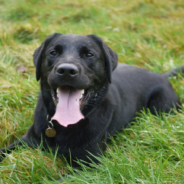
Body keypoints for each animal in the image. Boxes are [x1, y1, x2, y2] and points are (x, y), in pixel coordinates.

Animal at [0, 33, 184, 171]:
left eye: (89, 54)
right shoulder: (27, 140)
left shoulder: (89, 164)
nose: (66, 71)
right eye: (53, 53)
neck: (64, 125)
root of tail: (162, 75)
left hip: (162, 107)